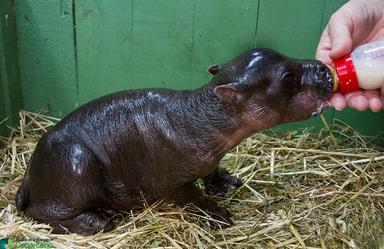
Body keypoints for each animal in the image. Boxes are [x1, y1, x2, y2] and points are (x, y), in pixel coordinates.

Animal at [15, 47, 332, 234]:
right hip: (75, 165)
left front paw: (228, 183)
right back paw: (101, 221)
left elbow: (212, 172)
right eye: (287, 77)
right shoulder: (173, 183)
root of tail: (28, 175)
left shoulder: (210, 159)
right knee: (40, 212)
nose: (324, 68)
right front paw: (221, 216)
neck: (202, 113)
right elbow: (195, 198)